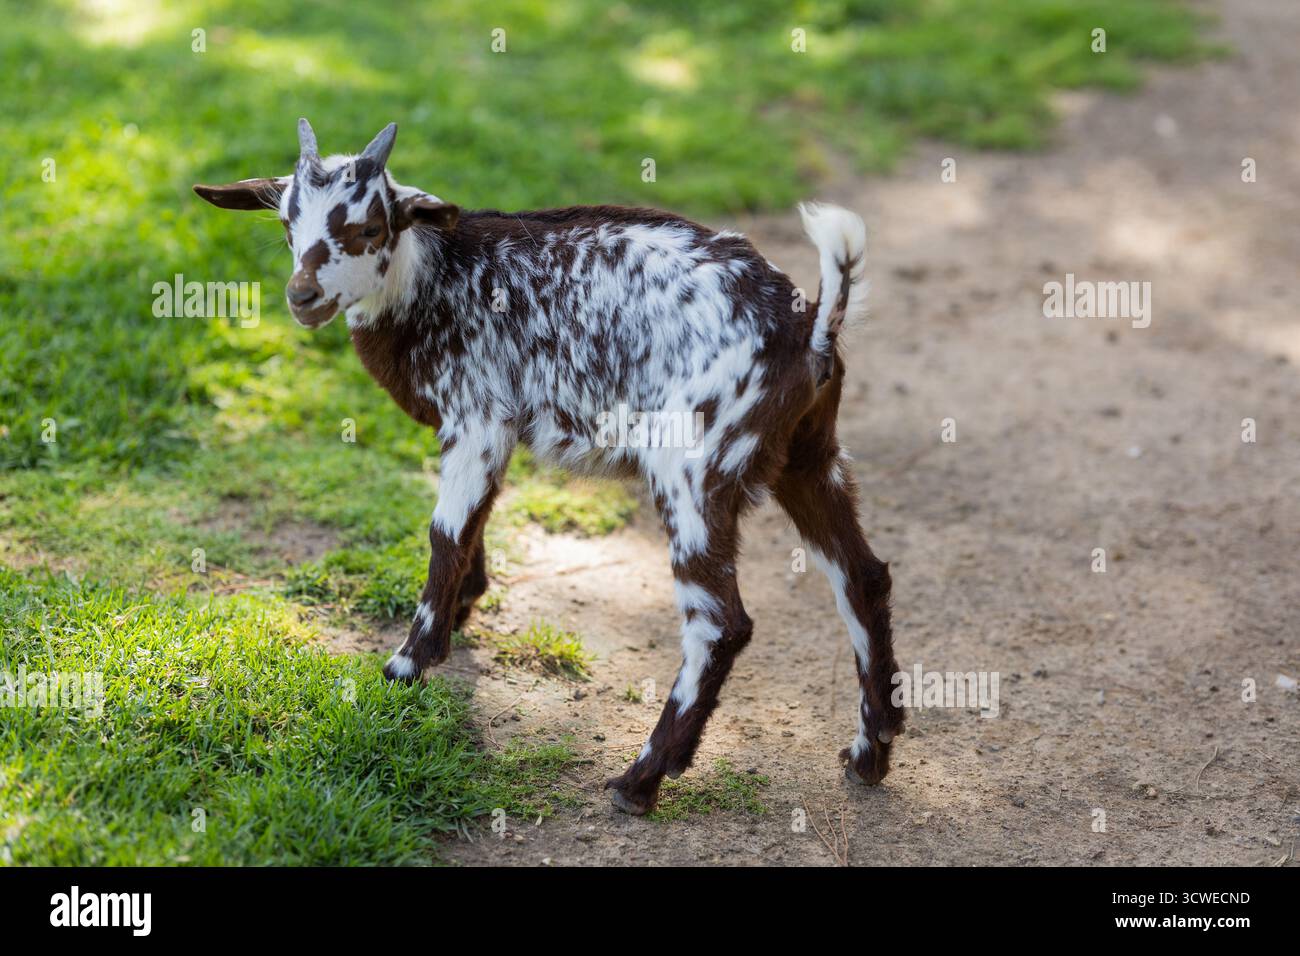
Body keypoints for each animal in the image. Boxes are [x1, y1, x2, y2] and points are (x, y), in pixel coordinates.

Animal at [194, 119, 904, 815]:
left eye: (369, 227)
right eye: (288, 224)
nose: (303, 295)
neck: (437, 281)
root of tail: (810, 328)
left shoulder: (476, 419)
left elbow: (445, 535)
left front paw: (407, 666)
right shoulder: (488, 433)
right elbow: (475, 523)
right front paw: (461, 612)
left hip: (692, 472)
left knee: (719, 623)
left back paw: (640, 780)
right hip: (808, 457)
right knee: (862, 577)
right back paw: (869, 753)